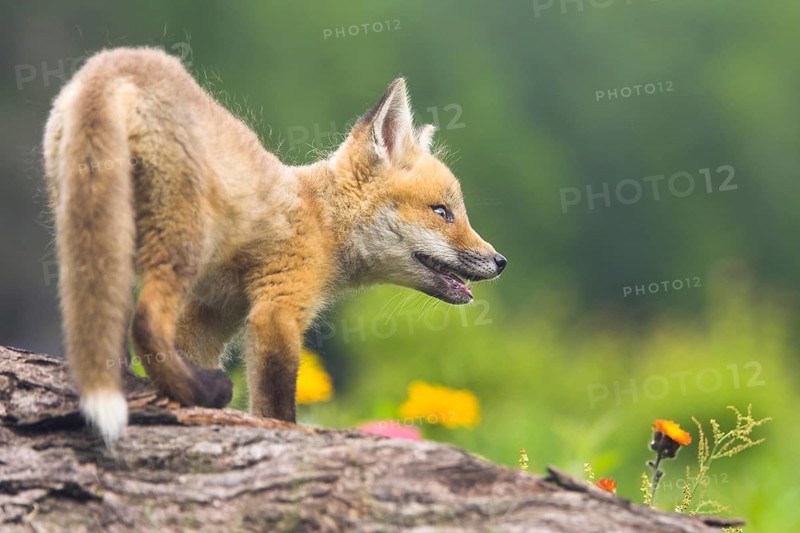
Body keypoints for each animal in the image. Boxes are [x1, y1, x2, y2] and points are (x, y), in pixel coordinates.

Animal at [43, 47, 506, 445]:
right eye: (442, 212)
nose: (500, 261)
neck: (322, 219)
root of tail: (116, 64)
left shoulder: (212, 311)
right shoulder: (278, 307)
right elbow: (275, 404)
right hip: (180, 244)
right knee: (144, 322)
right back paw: (200, 393)